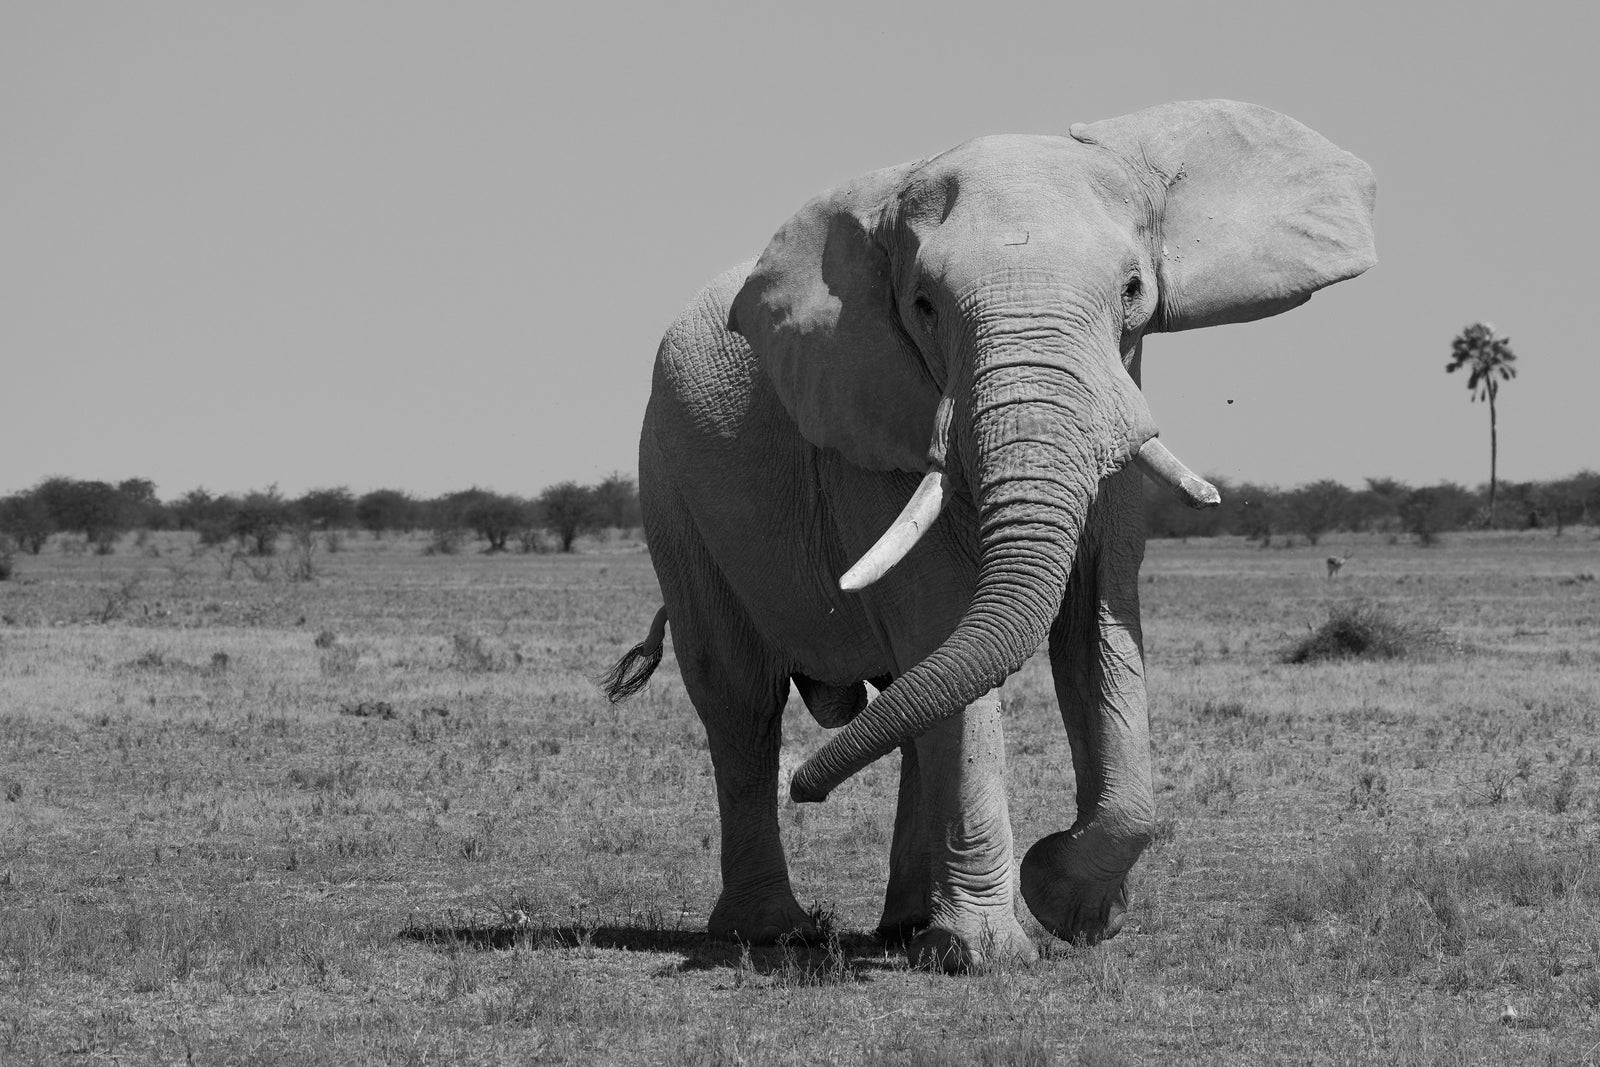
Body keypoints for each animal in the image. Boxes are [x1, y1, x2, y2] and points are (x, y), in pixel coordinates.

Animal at [603, 99, 1376, 971]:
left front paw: (1070, 905)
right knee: (740, 699)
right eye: (924, 307)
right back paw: (774, 930)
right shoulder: (876, 425)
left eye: (1134, 290)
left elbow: (1096, 627)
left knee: (907, 695)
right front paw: (992, 949)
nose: (808, 787)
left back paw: (904, 927)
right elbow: (947, 624)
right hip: (669, 487)